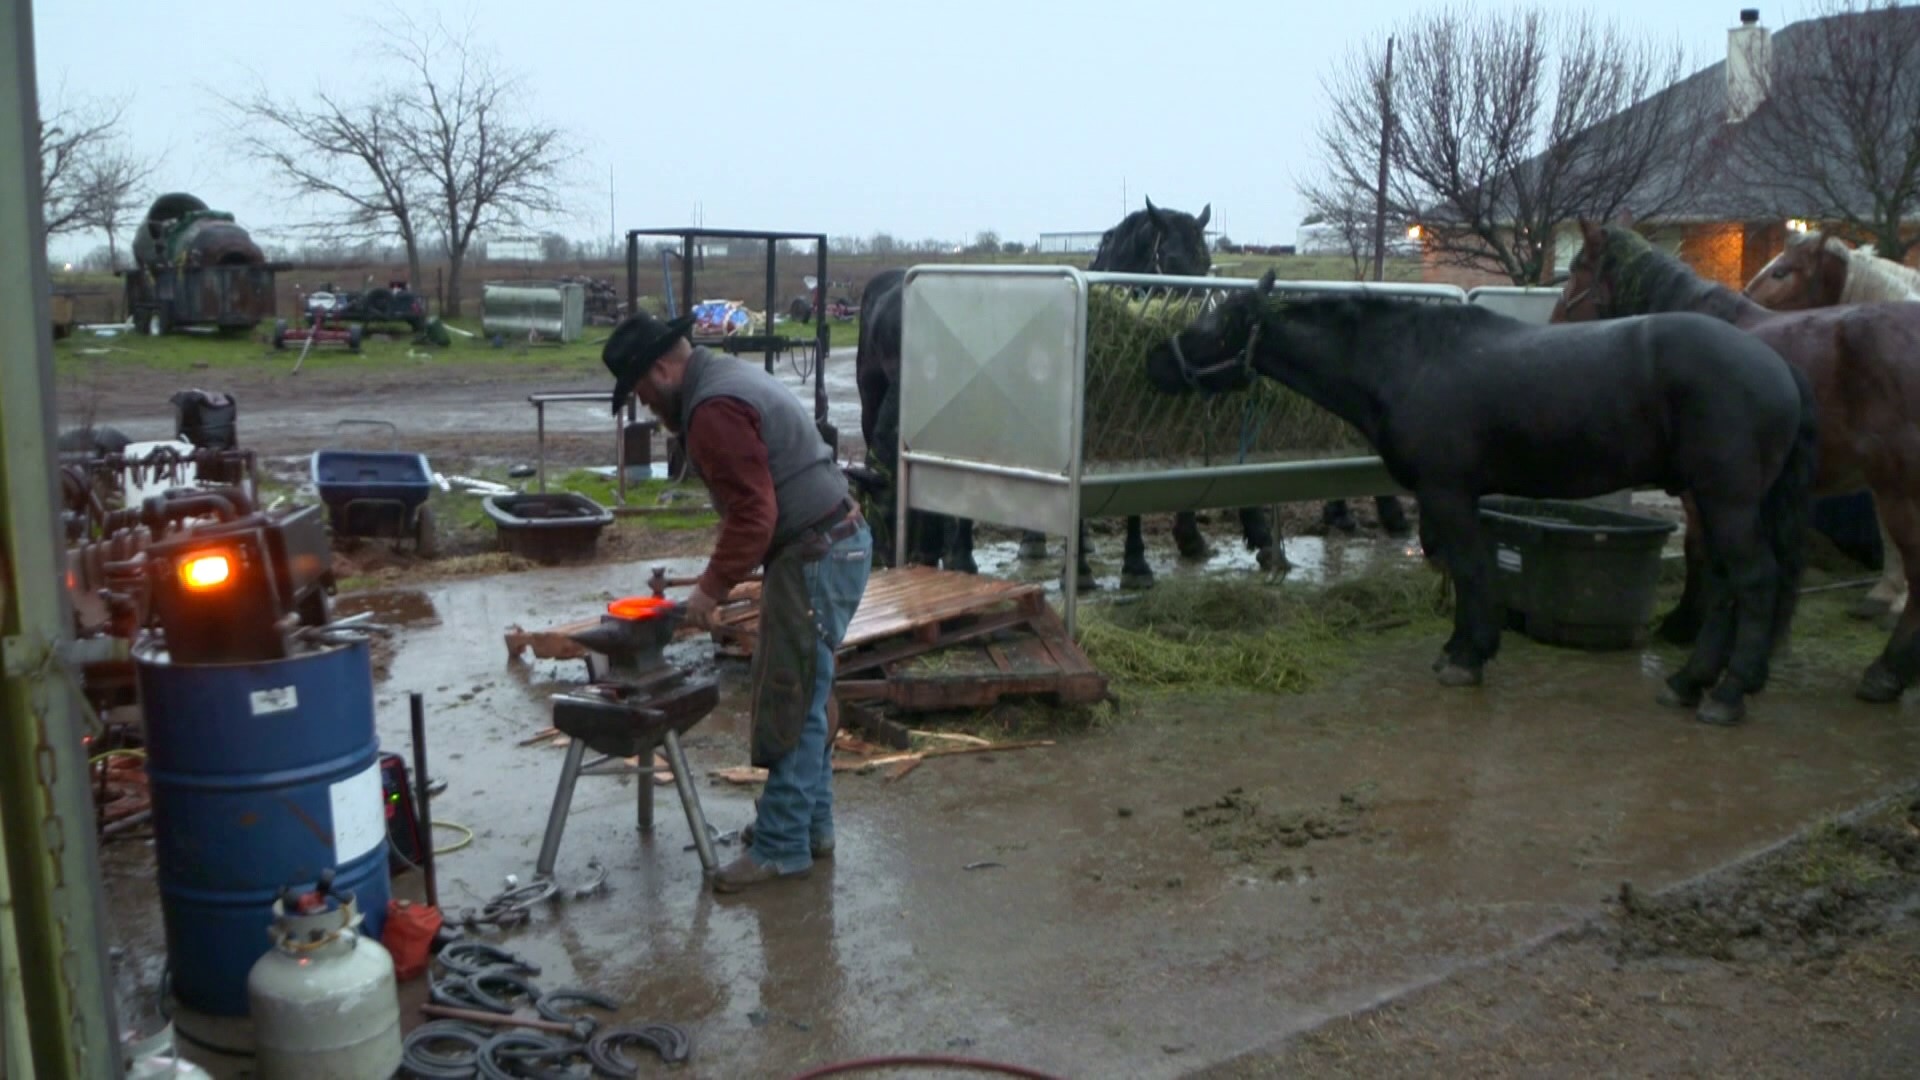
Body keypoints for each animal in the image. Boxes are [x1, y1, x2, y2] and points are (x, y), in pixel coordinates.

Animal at [1144, 267, 1820, 722]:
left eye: (1211, 326)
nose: (1155, 361)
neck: (1410, 361)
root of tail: (1777, 366)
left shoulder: (1447, 492)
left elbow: (1470, 569)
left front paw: (1468, 659)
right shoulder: (1448, 498)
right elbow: (1460, 568)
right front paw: (1459, 647)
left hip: (1727, 501)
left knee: (1753, 581)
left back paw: (1727, 693)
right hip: (1715, 502)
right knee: (1727, 583)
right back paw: (1691, 682)